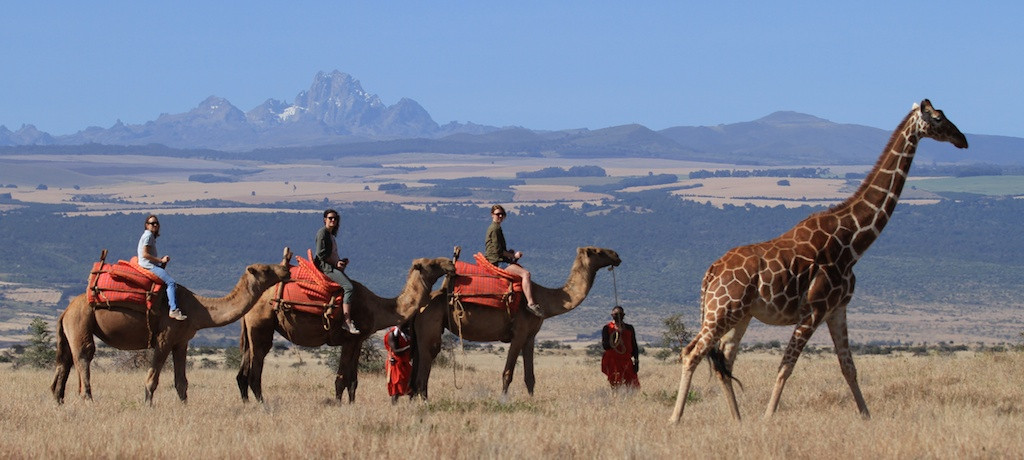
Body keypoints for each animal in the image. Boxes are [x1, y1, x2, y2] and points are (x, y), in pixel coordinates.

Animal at [51, 247, 292, 401]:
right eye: (266, 270)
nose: (286, 269)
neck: (198, 308)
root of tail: (66, 311)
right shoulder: (164, 339)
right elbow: (151, 380)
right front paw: (148, 407)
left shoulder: (181, 342)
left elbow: (181, 383)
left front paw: (184, 408)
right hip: (81, 321)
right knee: (84, 356)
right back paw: (88, 401)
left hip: (71, 328)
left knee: (64, 362)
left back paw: (59, 402)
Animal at [237, 254, 454, 401]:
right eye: (432, 264)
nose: (451, 264)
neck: (376, 307)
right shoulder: (349, 339)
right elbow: (341, 379)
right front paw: (339, 405)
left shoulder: (358, 340)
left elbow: (353, 380)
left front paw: (351, 404)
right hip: (261, 327)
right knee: (255, 371)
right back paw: (262, 405)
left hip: (251, 331)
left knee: (242, 374)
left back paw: (247, 404)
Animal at [409, 243, 618, 397]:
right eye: (598, 251)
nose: (616, 254)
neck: (543, 299)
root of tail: (422, 306)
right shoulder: (519, 333)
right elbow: (507, 373)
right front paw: (503, 400)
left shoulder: (530, 336)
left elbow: (530, 376)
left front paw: (532, 401)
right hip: (430, 326)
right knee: (424, 369)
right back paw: (424, 402)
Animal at [671, 98, 966, 422]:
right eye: (937, 118)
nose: (962, 139)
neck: (852, 241)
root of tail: (710, 272)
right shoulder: (814, 309)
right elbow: (786, 366)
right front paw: (768, 418)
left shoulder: (838, 309)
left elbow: (848, 367)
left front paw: (866, 417)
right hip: (722, 310)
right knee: (692, 352)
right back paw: (676, 418)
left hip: (740, 315)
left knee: (725, 361)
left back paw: (737, 419)